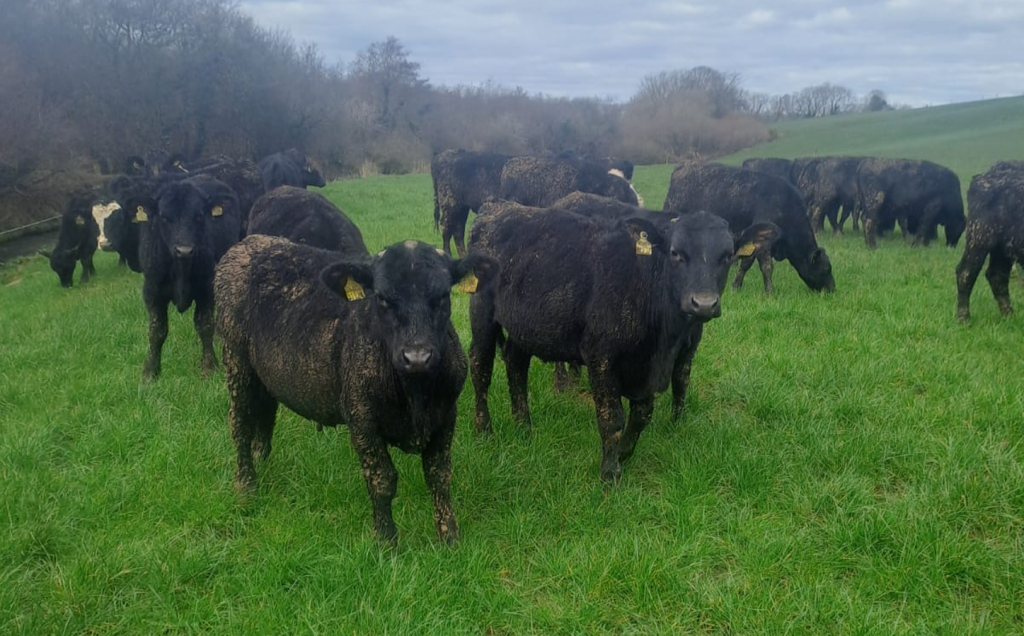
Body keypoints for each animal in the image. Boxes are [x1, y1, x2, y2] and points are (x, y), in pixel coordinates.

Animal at [124, 175, 243, 379]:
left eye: (199, 215)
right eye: (164, 217)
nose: (184, 250)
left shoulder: (206, 289)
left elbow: (205, 325)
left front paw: (209, 366)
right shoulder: (152, 291)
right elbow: (157, 330)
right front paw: (150, 371)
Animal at [214, 235, 496, 544]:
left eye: (443, 296)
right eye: (382, 298)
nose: (417, 357)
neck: (414, 392)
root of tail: (252, 242)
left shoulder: (446, 415)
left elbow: (439, 476)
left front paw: (449, 537)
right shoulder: (361, 419)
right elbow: (382, 480)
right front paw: (386, 539)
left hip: (263, 372)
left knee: (265, 412)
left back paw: (262, 461)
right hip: (236, 359)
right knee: (239, 421)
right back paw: (246, 485)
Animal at [468, 202, 777, 482]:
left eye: (727, 255)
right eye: (675, 253)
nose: (703, 303)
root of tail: (496, 208)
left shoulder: (649, 367)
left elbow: (642, 415)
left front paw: (624, 453)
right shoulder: (601, 358)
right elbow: (611, 419)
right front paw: (610, 473)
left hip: (523, 327)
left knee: (516, 363)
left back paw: (524, 427)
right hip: (481, 313)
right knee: (480, 368)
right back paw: (484, 431)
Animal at [663, 162, 835, 295]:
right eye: (826, 268)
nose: (832, 289)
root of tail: (681, 168)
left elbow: (746, 263)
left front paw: (736, 285)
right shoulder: (764, 244)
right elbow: (766, 267)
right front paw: (770, 292)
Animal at [955, 161, 1024, 322]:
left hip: (1003, 248)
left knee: (997, 276)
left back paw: (1009, 315)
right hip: (979, 238)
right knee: (965, 272)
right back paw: (963, 317)